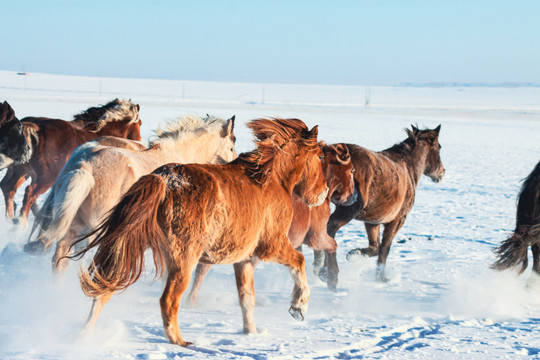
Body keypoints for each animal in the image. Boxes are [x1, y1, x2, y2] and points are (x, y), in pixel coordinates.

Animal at [0, 97, 142, 222]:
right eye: (140, 123)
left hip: (22, 171)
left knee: (8, 187)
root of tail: (35, 127)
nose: (139, 141)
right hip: (46, 177)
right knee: (29, 193)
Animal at [67, 118, 330, 346]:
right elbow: (299, 262)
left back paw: (85, 334)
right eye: (319, 155)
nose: (324, 193)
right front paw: (299, 307)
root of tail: (163, 180)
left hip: (130, 246)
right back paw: (180, 342)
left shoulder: (244, 259)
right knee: (168, 300)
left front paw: (251, 332)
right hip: (184, 261)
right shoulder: (271, 247)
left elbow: (247, 298)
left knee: (106, 288)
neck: (271, 178)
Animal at [186, 142, 358, 306]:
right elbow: (332, 245)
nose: (353, 197)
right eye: (351, 170)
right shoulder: (316, 236)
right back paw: (192, 300)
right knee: (202, 269)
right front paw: (331, 279)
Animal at [314, 125, 446, 286]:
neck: (408, 169)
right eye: (439, 148)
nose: (442, 173)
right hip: (348, 208)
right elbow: (384, 249)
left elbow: (375, 247)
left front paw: (354, 253)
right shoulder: (397, 220)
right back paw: (325, 272)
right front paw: (381, 278)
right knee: (330, 228)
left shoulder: (372, 221)